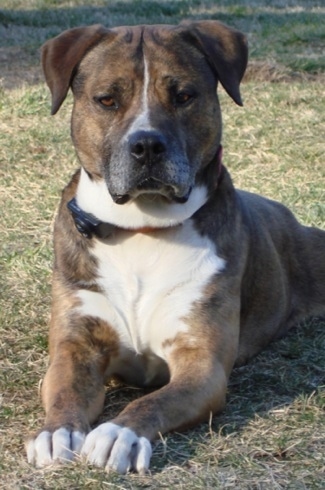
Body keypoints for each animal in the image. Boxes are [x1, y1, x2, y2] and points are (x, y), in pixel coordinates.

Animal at [26, 20, 324, 474]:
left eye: (184, 96)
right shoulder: (75, 346)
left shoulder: (201, 366)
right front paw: (56, 432)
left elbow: (154, 401)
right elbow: (63, 391)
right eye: (106, 99)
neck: (141, 229)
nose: (147, 145)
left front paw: (119, 434)